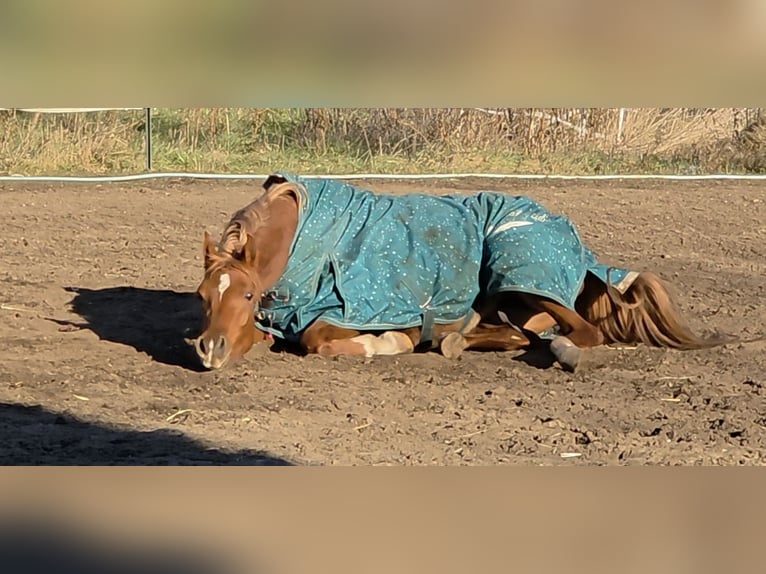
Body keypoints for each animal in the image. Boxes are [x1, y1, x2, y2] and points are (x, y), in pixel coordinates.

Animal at [193, 174, 729, 371]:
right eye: (203, 296)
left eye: (245, 296)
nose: (209, 348)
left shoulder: (368, 308)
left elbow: (318, 339)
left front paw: (387, 343)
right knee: (519, 331)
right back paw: (459, 338)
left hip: (521, 268)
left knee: (580, 331)